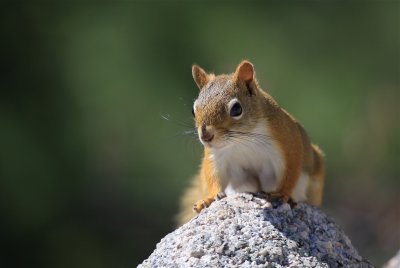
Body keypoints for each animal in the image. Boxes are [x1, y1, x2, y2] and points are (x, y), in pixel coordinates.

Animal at [178, 60, 324, 224]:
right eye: (193, 110)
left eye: (236, 109)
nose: (205, 136)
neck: (241, 141)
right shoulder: (215, 156)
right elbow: (212, 175)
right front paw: (208, 198)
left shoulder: (289, 143)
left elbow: (291, 172)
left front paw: (282, 193)